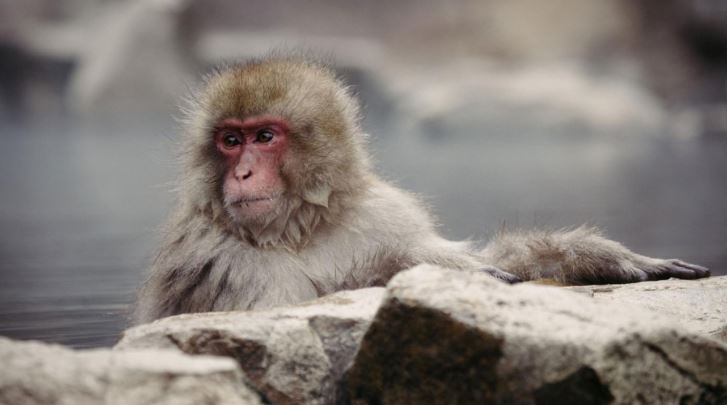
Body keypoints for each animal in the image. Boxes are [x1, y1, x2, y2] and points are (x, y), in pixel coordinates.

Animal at [132, 55, 710, 324]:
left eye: (264, 137)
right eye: (230, 141)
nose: (244, 174)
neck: (301, 228)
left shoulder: (381, 212)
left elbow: (480, 258)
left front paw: (601, 258)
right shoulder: (215, 255)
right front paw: (407, 270)